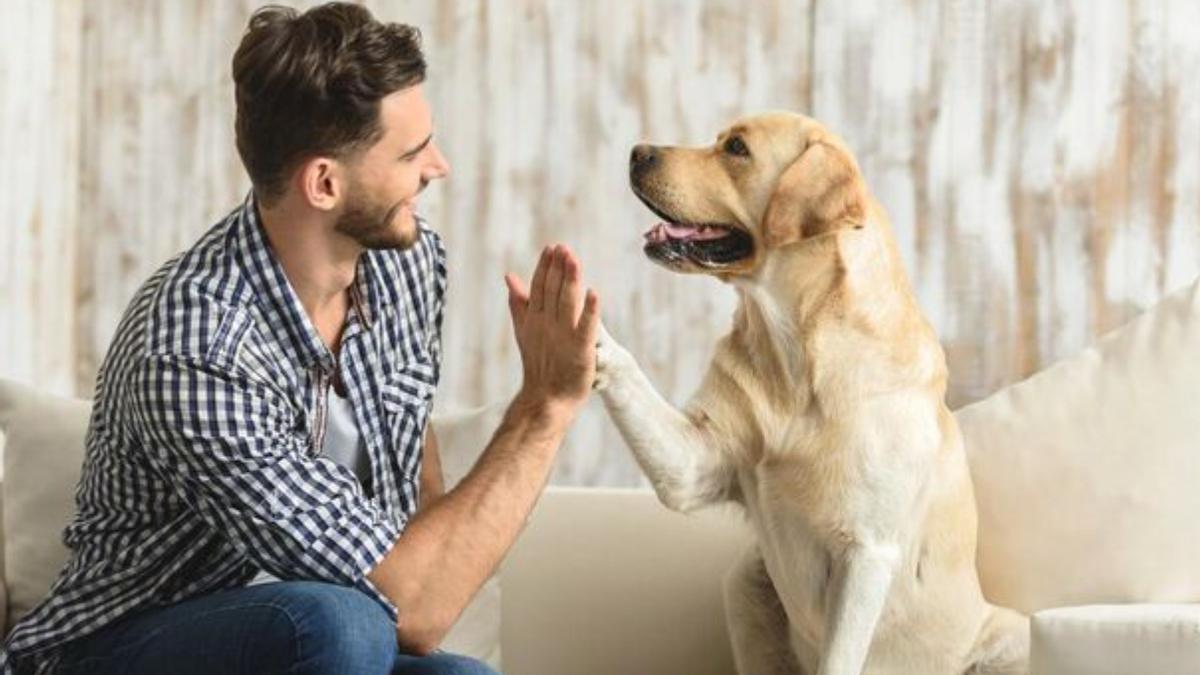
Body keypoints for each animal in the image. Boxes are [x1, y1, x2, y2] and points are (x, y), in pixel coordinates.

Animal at [595, 112, 1027, 667]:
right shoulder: (694, 464)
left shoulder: (867, 553)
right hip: (746, 583)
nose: (637, 151)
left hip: (1010, 635)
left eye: (736, 149)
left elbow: (839, 659)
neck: (796, 355)